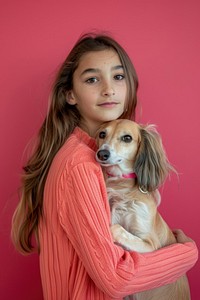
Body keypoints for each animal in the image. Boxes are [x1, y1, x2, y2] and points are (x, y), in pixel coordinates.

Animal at [95, 119, 191, 300]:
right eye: (102, 134)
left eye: (127, 138)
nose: (102, 154)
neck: (122, 186)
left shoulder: (151, 245)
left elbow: (117, 228)